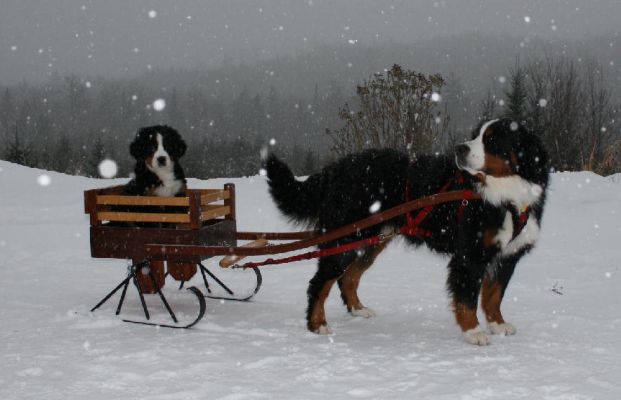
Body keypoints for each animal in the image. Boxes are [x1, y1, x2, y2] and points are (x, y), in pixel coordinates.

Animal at [266, 118, 548, 344]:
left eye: (492, 140)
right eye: (475, 135)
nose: (460, 148)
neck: (507, 198)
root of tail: (336, 168)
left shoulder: (508, 255)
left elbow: (494, 295)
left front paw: (498, 324)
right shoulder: (470, 255)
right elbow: (468, 297)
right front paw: (473, 332)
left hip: (371, 240)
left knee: (349, 277)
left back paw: (358, 309)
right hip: (346, 237)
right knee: (320, 282)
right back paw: (317, 324)